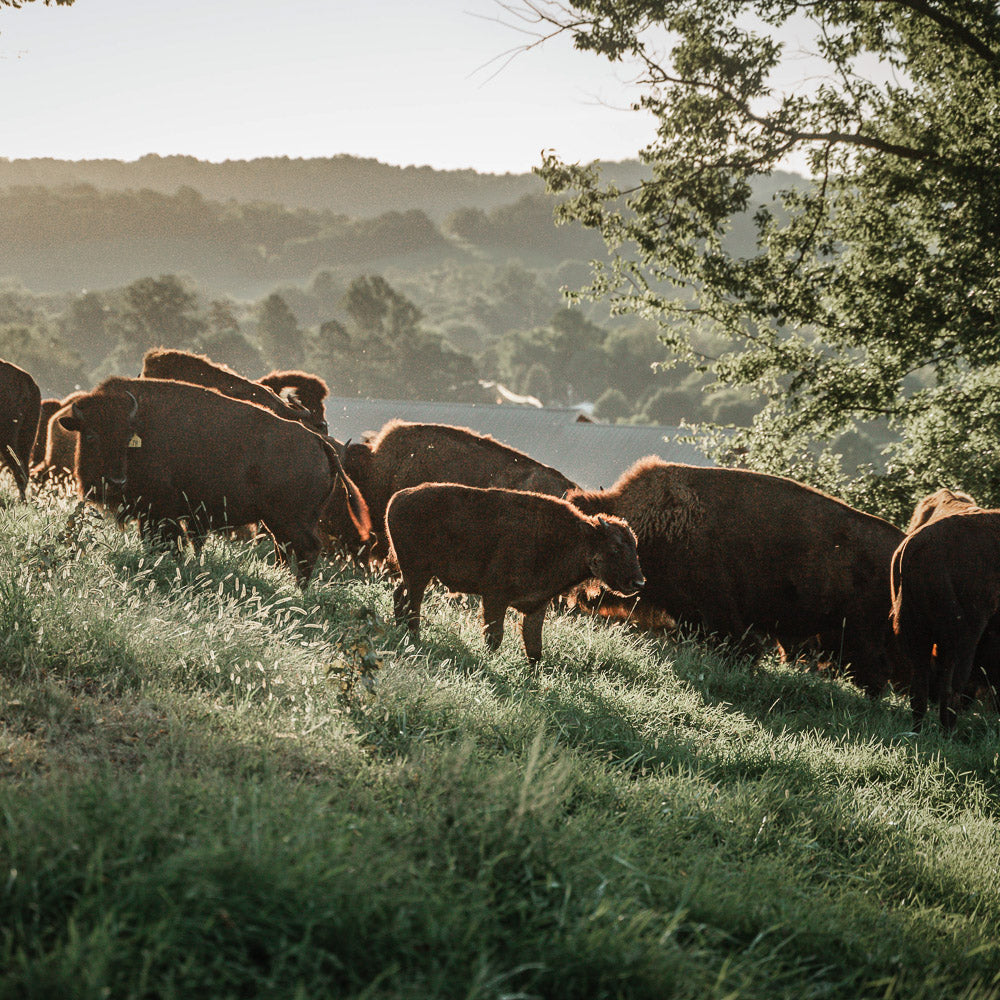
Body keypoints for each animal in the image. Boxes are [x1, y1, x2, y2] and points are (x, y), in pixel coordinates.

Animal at [59, 377, 369, 583]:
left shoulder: (162, 513)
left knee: (308, 549)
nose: (115, 480)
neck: (141, 427)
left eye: (127, 439)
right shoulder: (154, 515)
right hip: (278, 521)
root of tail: (320, 443)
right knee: (285, 550)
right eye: (90, 435)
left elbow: (168, 543)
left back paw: (298, 590)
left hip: (293, 520)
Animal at [386, 483, 644, 663]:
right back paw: (414, 638)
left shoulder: (536, 605)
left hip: (415, 574)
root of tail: (397, 498)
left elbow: (535, 649)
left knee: (400, 596)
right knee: (413, 605)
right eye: (615, 548)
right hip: (418, 573)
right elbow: (494, 637)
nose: (638, 582)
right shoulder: (495, 598)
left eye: (635, 547)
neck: (574, 538)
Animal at [566, 458, 906, 695]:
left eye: (619, 547)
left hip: (859, 633)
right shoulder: (689, 612)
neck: (660, 520)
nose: (637, 582)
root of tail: (899, 548)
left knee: (878, 672)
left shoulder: (718, 607)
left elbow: (738, 645)